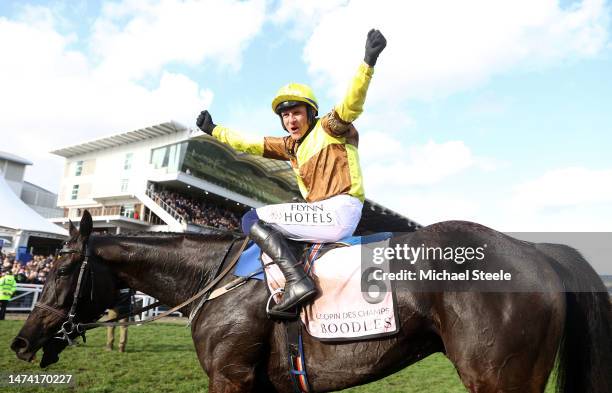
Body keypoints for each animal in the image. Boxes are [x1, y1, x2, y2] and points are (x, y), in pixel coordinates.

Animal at [9, 213, 612, 390]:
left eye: (60, 268)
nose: (20, 341)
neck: (215, 279)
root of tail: (536, 249)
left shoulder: (230, 377)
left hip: (502, 378)